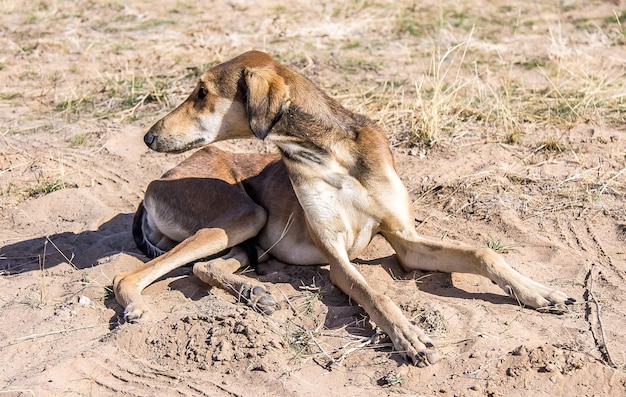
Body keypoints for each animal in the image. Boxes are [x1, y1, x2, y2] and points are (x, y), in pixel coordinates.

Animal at [114, 49, 572, 366]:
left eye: (203, 92)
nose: (148, 137)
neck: (330, 151)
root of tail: (157, 181)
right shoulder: (337, 257)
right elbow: (375, 293)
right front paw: (408, 336)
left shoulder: (406, 242)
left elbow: (482, 252)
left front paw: (539, 292)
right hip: (240, 216)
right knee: (128, 276)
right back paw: (139, 304)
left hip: (246, 236)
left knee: (203, 267)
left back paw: (255, 293)